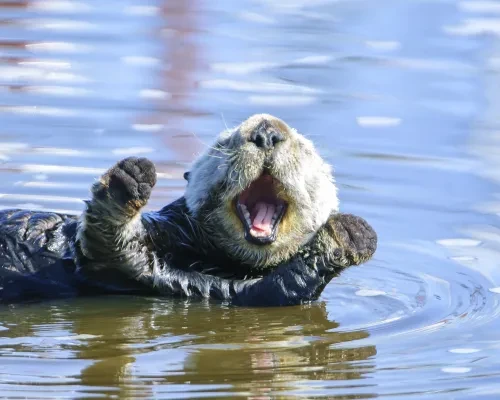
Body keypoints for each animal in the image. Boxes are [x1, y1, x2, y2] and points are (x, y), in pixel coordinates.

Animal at [0, 114, 376, 304]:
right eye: (223, 143)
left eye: (306, 148)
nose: (267, 133)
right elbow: (102, 243)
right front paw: (128, 180)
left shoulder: (206, 288)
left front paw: (349, 236)